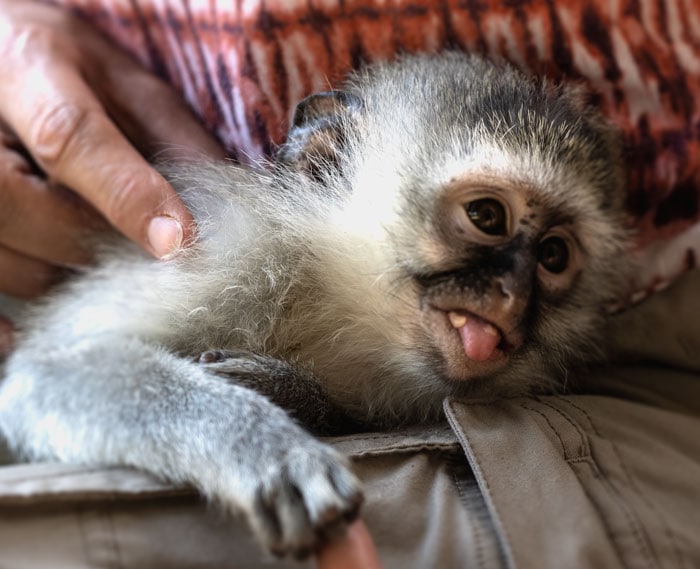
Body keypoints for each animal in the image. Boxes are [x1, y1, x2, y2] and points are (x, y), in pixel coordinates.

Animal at [0, 51, 628, 556]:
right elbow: (39, 376)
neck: (329, 300)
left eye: (552, 255)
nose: (513, 292)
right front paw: (263, 448)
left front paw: (294, 395)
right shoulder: (230, 255)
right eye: (487, 217)